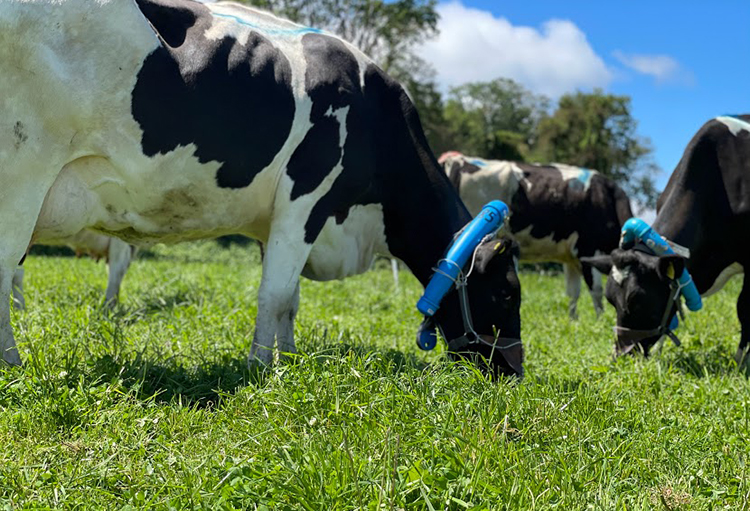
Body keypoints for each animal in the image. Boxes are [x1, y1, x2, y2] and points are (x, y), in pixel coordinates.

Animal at [0, 0, 524, 376]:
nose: (514, 372)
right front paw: (258, 369)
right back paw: (13, 367)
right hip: (24, 174)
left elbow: (289, 298)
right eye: (506, 294)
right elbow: (274, 294)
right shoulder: (306, 200)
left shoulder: (278, 222)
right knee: (6, 270)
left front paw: (287, 358)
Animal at [440, 152, 636, 320]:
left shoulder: (571, 257)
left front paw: (573, 320)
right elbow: (595, 290)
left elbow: (573, 293)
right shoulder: (587, 248)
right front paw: (599, 320)